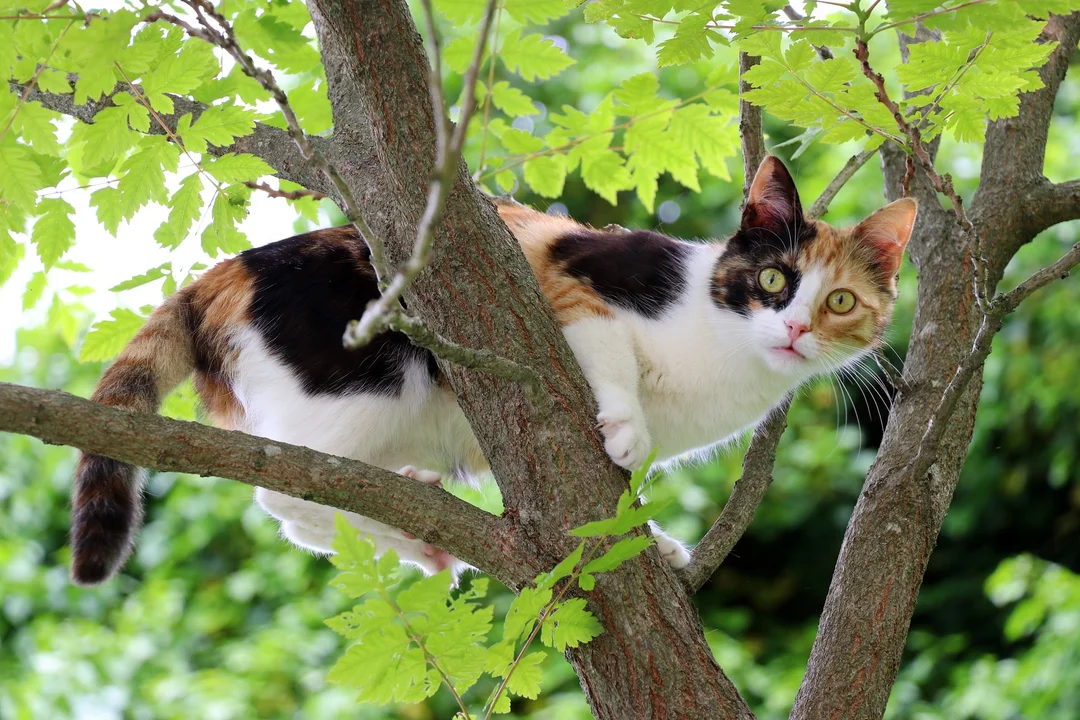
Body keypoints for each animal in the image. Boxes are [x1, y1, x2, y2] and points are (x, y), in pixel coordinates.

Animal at [69, 156, 911, 587]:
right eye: (772, 279)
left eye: (839, 301)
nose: (796, 329)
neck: (726, 352)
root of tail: (224, 274)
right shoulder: (575, 278)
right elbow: (608, 353)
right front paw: (627, 429)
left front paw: (656, 541)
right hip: (369, 382)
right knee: (288, 492)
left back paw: (422, 533)